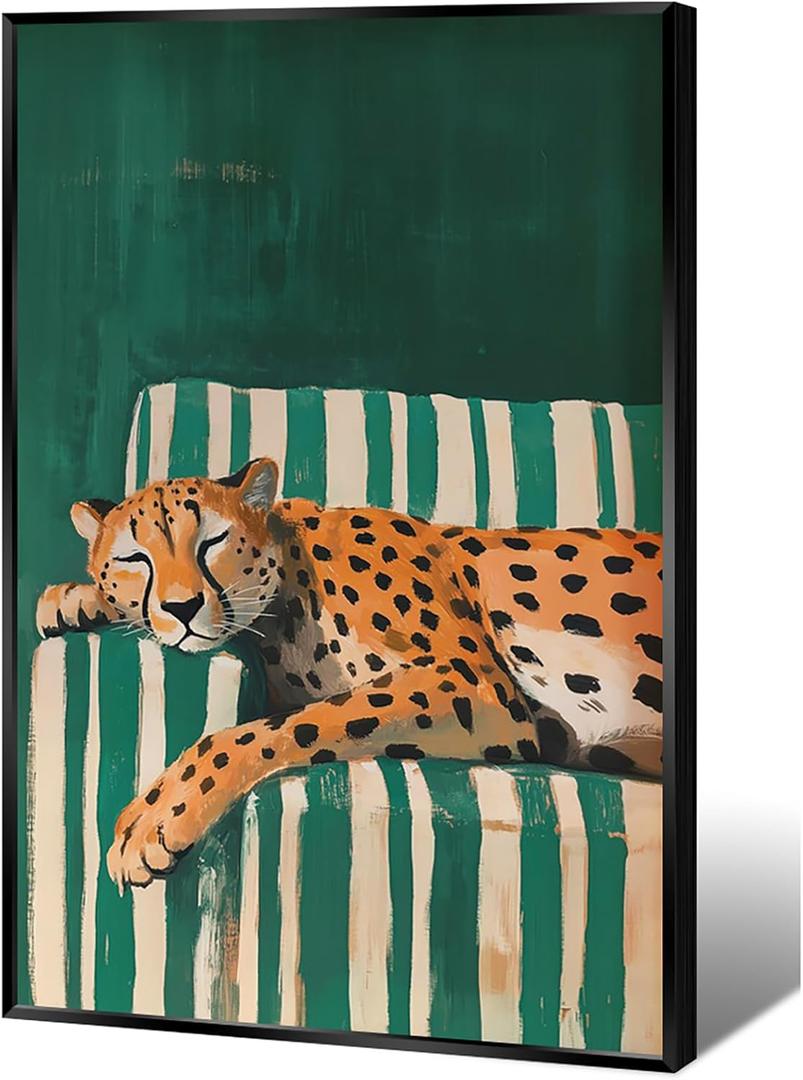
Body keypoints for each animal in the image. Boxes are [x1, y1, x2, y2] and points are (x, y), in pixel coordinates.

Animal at [37, 457, 663, 891]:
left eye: (212, 541)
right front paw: (77, 599)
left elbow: (274, 729)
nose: (183, 607)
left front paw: (153, 820)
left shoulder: (475, 686)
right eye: (133, 559)